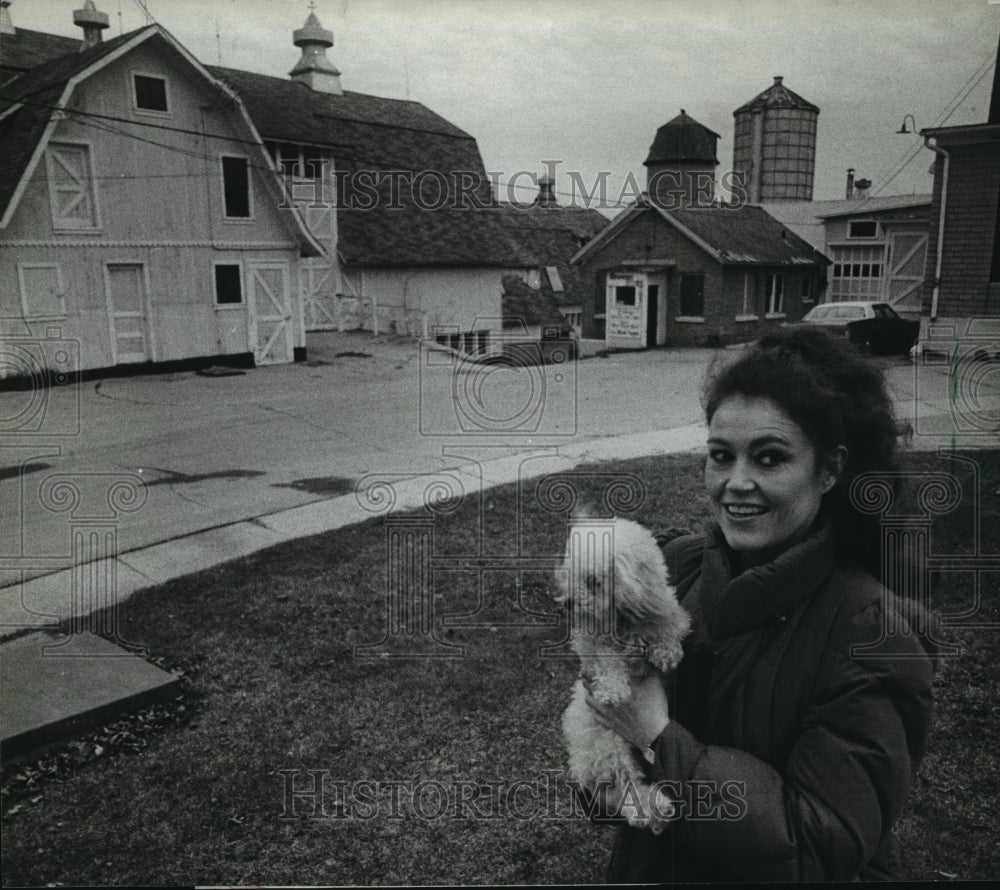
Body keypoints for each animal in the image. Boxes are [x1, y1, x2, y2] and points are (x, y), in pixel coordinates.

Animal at [556, 512, 688, 832]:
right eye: (569, 574)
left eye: (593, 581)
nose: (564, 605)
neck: (622, 619)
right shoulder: (591, 644)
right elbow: (606, 659)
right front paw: (613, 690)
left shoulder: (664, 609)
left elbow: (668, 625)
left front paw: (666, 652)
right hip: (608, 740)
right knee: (627, 784)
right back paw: (653, 807)